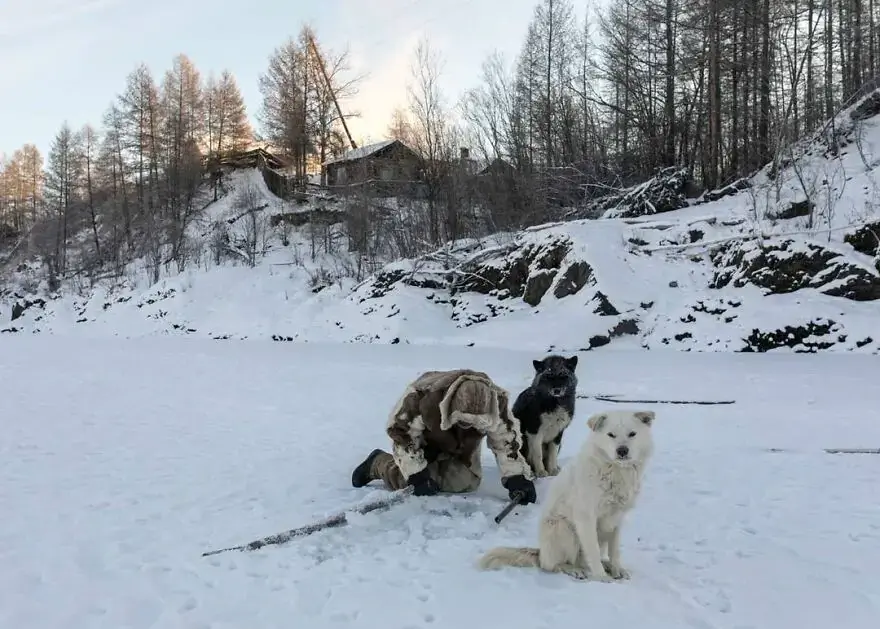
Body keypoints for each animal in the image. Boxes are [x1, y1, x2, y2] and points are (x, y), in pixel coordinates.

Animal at [474, 410, 652, 580]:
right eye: (611, 434)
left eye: (632, 434)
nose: (622, 451)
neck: (615, 470)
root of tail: (541, 553)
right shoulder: (585, 517)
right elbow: (593, 551)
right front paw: (602, 578)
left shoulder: (616, 518)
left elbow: (614, 551)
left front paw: (616, 570)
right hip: (563, 527)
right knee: (554, 565)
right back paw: (575, 570)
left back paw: (606, 565)